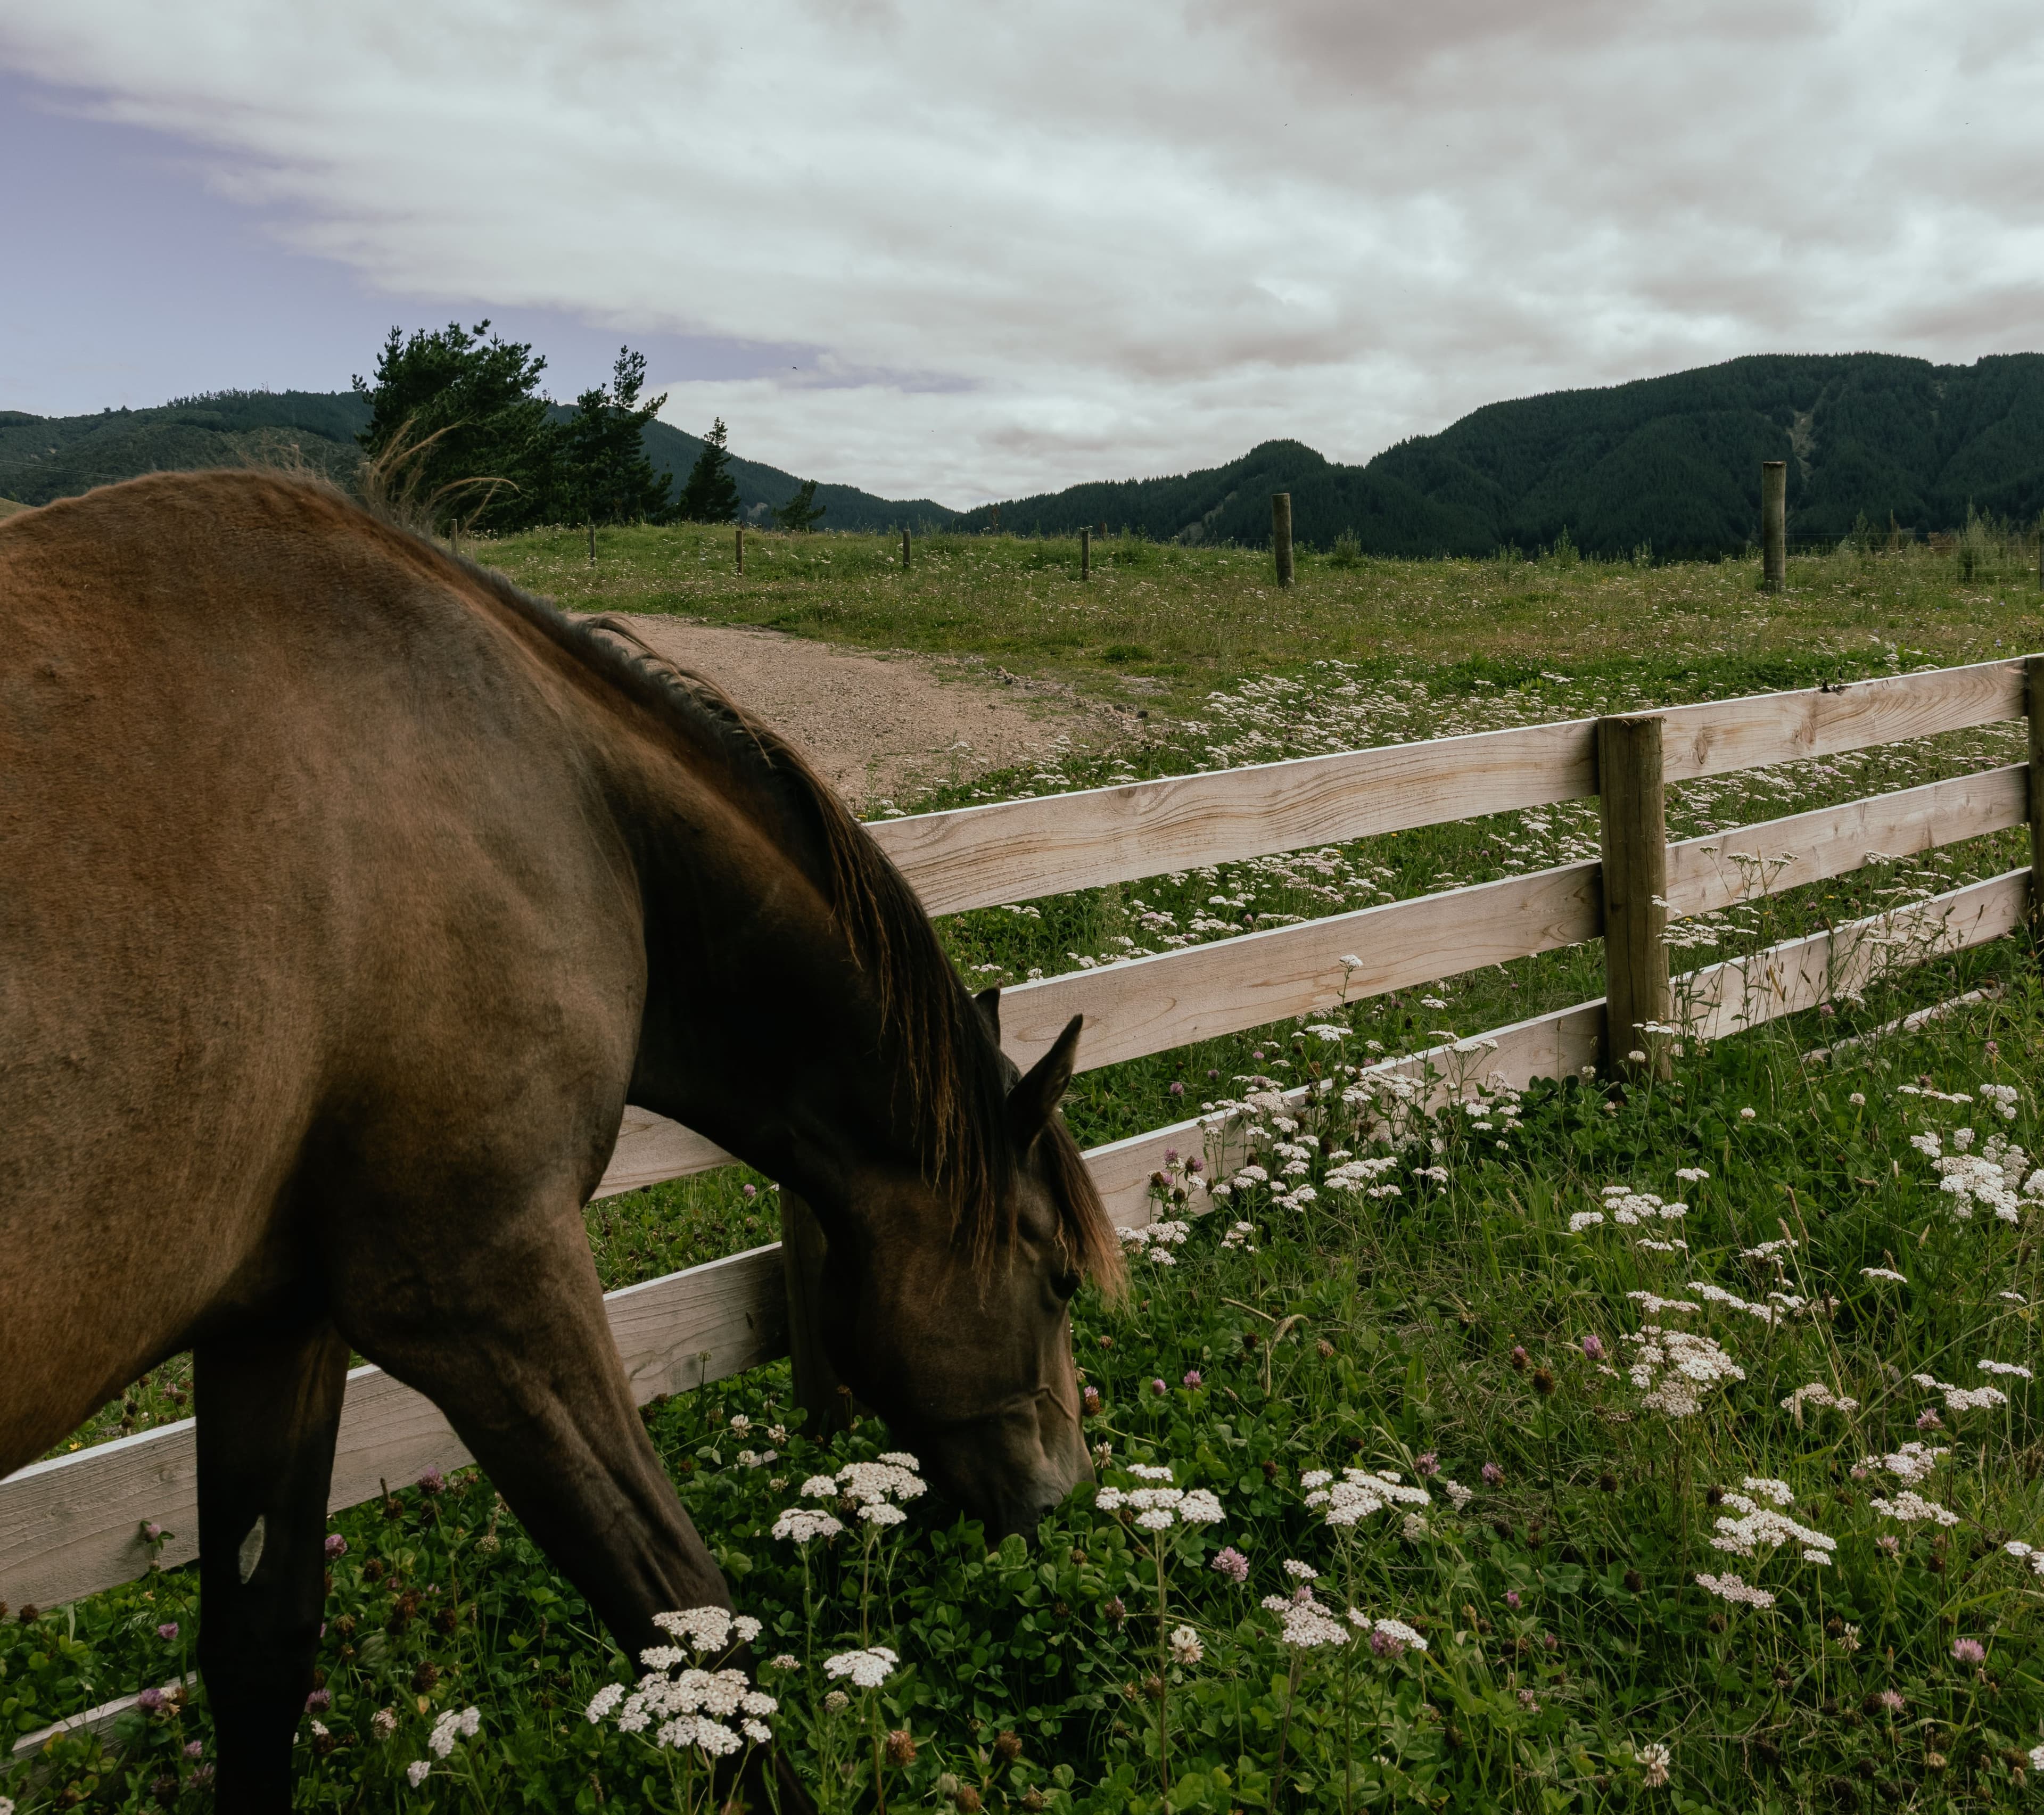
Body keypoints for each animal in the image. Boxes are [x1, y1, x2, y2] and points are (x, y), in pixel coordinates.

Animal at [0, 472, 1124, 1810]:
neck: (559, 799)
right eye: (1058, 1279)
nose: (1061, 1494)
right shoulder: (483, 1288)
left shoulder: (278, 1316)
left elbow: (262, 1648)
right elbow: (689, 1624)